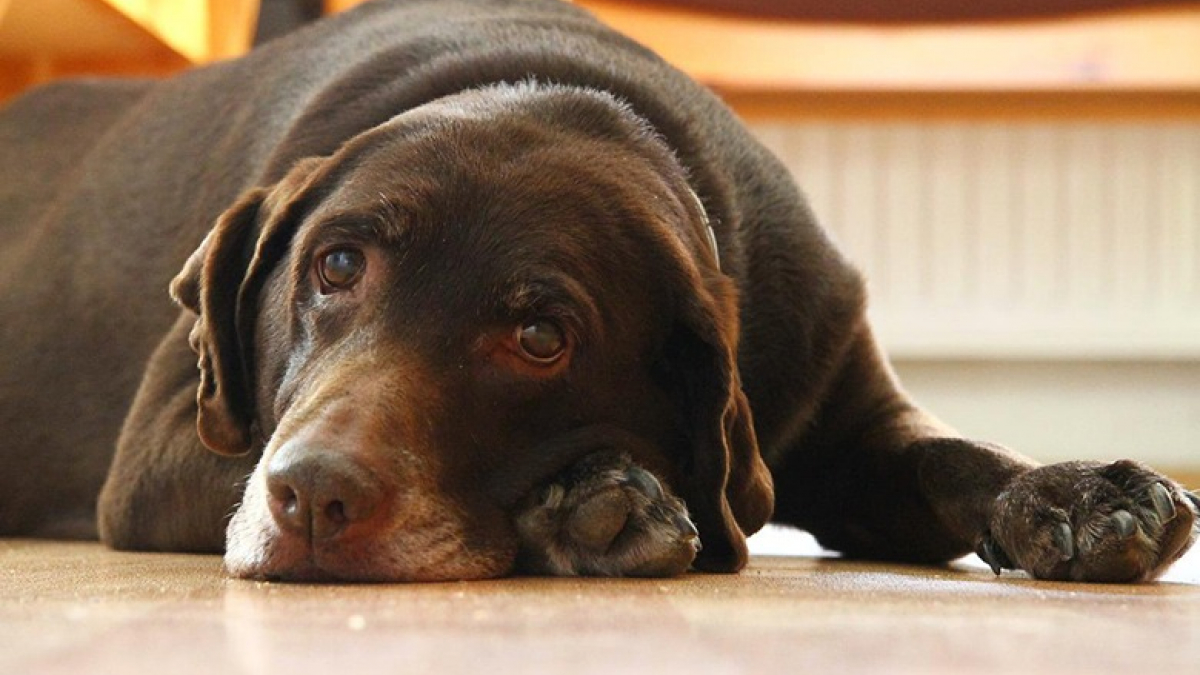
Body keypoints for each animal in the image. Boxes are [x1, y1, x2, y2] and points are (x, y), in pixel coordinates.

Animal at [0, 0, 1195, 581]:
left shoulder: (841, 398)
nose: (312, 501)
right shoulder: (166, 446)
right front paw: (593, 506)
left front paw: (1079, 492)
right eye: (335, 267)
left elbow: (959, 454)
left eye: (541, 336)